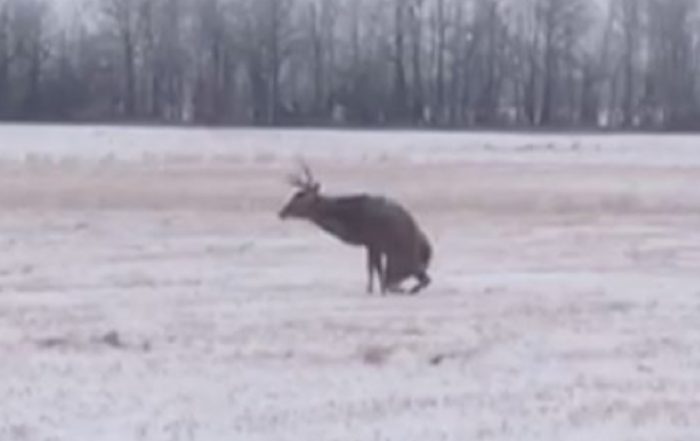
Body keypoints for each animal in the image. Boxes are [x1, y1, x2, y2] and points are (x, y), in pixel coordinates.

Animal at [278, 162, 432, 295]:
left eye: (301, 197)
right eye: (295, 195)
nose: (282, 212)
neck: (352, 222)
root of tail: (428, 250)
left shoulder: (374, 242)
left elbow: (374, 269)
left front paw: (375, 291)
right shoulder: (371, 245)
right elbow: (372, 269)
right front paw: (372, 290)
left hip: (403, 259)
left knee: (423, 279)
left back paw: (406, 289)